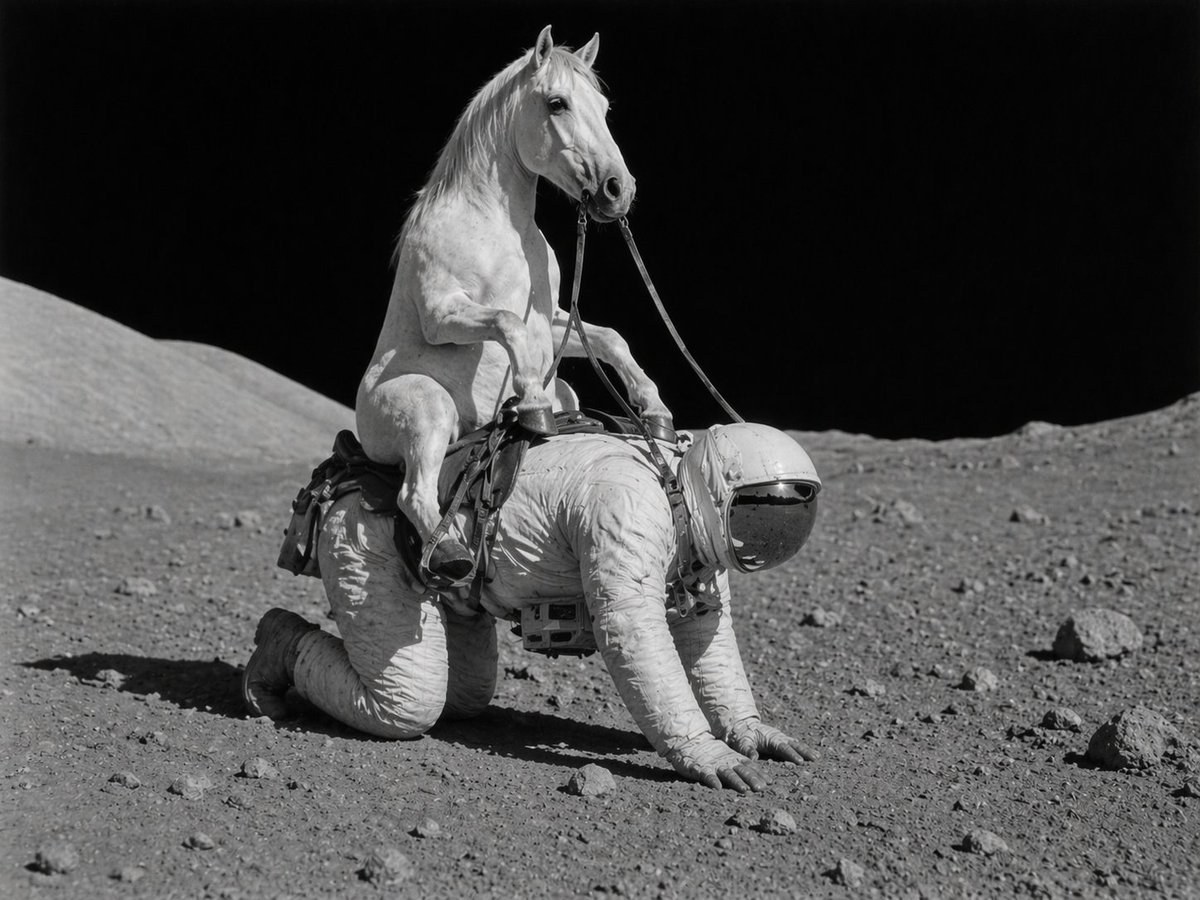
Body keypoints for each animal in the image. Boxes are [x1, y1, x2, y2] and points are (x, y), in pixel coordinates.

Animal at [356, 26, 672, 584]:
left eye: (604, 107)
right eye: (556, 103)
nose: (618, 189)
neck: (498, 226)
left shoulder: (554, 321)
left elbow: (610, 339)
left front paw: (653, 408)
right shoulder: (444, 315)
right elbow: (506, 323)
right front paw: (531, 405)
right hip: (428, 408)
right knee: (414, 493)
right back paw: (453, 553)